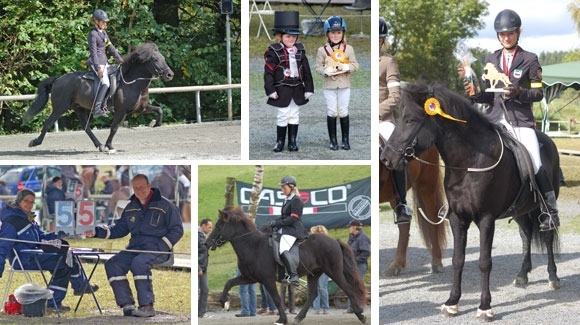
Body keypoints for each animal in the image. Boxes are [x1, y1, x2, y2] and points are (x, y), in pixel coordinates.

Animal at [23, 42, 173, 153]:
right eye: (155, 59)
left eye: (163, 58)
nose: (169, 75)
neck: (133, 82)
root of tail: (58, 79)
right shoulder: (121, 111)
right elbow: (114, 128)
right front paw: (110, 146)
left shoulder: (140, 108)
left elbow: (159, 109)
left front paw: (156, 123)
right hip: (60, 107)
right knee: (48, 123)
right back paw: (35, 142)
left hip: (79, 108)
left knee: (86, 127)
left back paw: (99, 145)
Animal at [205, 206, 368, 324]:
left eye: (219, 225)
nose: (206, 243)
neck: (252, 246)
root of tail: (334, 240)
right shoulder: (249, 278)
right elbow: (229, 283)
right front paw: (223, 301)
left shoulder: (267, 280)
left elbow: (277, 299)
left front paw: (282, 319)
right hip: (314, 273)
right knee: (312, 294)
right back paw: (299, 318)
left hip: (333, 271)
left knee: (347, 289)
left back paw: (361, 315)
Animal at [382, 81, 560, 322]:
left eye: (410, 120)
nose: (386, 158)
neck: (469, 162)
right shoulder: (458, 218)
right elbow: (458, 260)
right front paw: (452, 303)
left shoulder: (486, 219)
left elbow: (484, 262)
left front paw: (485, 307)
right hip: (521, 210)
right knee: (525, 234)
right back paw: (522, 275)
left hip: (544, 207)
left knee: (548, 236)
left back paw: (553, 277)